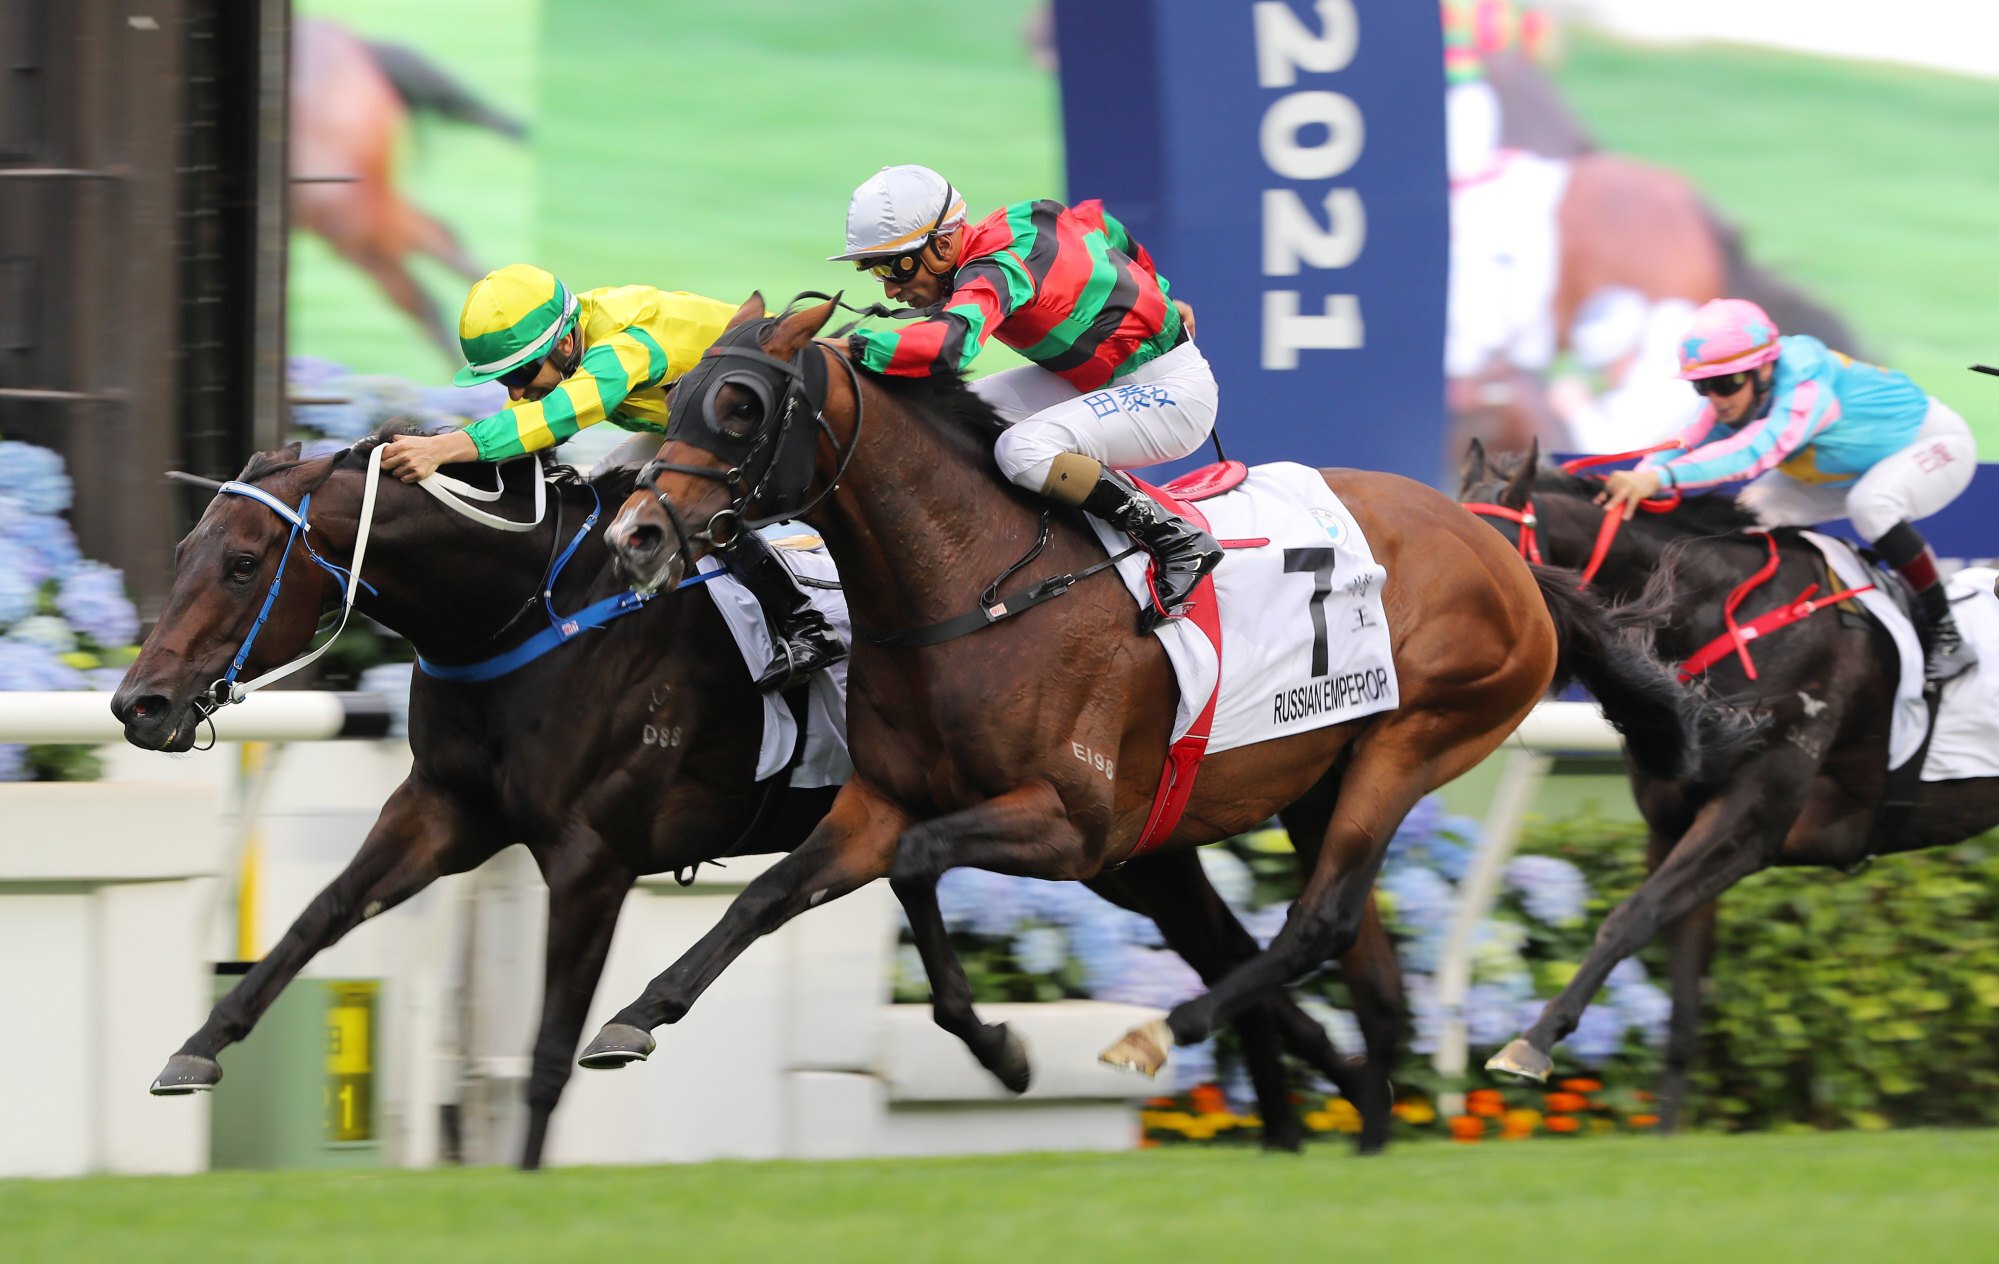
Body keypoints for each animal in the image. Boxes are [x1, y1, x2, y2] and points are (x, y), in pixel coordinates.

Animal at [113, 430, 1407, 1160]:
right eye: (182, 551)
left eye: (243, 563)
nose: (141, 703)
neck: (534, 615)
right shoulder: (442, 811)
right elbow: (313, 921)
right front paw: (194, 1048)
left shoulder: (591, 853)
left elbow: (550, 1043)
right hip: (1129, 844)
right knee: (1224, 943)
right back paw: (1317, 1101)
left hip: (1108, 833)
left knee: (1232, 942)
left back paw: (1322, 1098)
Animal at [583, 294, 1735, 1096]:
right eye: (675, 397)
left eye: (739, 408)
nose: (633, 534)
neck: (974, 588)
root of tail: (1501, 552)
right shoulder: (880, 801)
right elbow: (775, 895)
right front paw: (635, 1015)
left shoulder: (1076, 825)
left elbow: (916, 865)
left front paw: (1000, 1048)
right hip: (1323, 774)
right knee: (1365, 966)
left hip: (1418, 739)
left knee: (1316, 923)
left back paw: (1160, 1033)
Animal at [1455, 442, 1999, 1128]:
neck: (1723, 617)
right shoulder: (1671, 826)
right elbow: (1683, 999)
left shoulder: (1751, 821)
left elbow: (1631, 918)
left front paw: (1532, 1043)